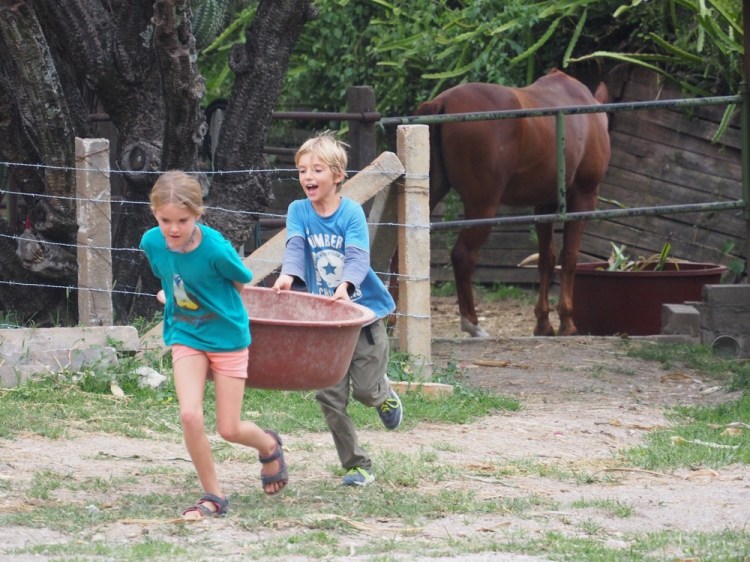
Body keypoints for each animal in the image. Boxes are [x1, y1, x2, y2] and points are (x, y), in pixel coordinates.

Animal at [412, 69, 610, 337]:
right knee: (462, 255)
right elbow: (569, 257)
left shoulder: (544, 205)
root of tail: (441, 102)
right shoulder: (583, 197)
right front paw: (566, 321)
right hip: (483, 206)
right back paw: (472, 323)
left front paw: (543, 323)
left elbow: (546, 259)